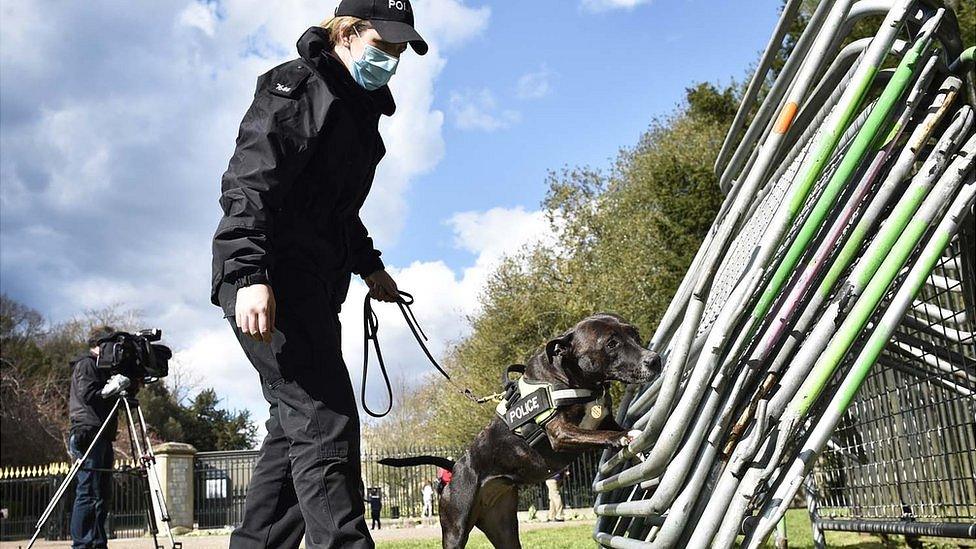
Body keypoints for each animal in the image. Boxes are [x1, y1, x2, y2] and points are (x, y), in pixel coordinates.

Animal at [378, 312, 660, 548]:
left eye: (634, 334)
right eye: (611, 343)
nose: (655, 360)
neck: (574, 380)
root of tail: (455, 468)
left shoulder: (603, 420)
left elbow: (612, 427)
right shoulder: (561, 433)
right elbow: (604, 435)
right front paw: (624, 437)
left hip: (503, 529)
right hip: (455, 529)